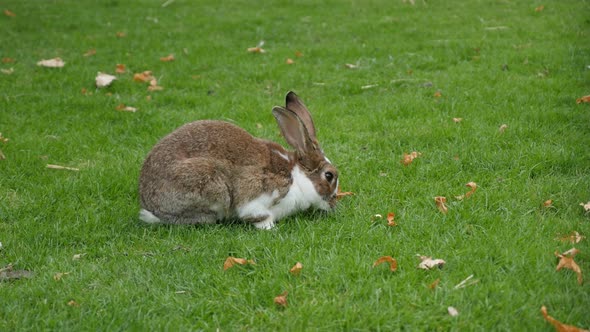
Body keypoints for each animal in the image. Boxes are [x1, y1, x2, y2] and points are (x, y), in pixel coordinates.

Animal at [139, 92, 340, 230]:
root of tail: (149, 205)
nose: (333, 204)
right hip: (210, 185)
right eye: (329, 176)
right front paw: (270, 228)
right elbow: (257, 215)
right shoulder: (259, 196)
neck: (297, 176)